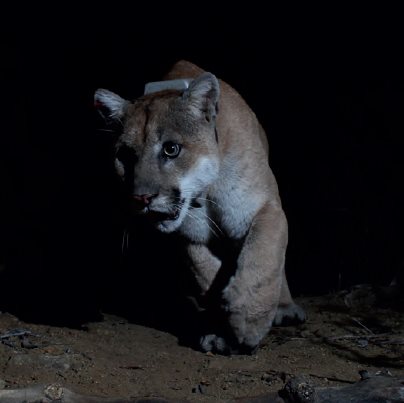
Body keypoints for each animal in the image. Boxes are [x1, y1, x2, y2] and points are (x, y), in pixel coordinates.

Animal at [94, 59, 304, 354]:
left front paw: (248, 323)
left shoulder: (264, 208)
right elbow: (206, 274)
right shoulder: (190, 236)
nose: (142, 198)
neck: (206, 192)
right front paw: (219, 331)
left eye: (171, 149)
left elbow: (262, 260)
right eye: (124, 155)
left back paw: (284, 308)